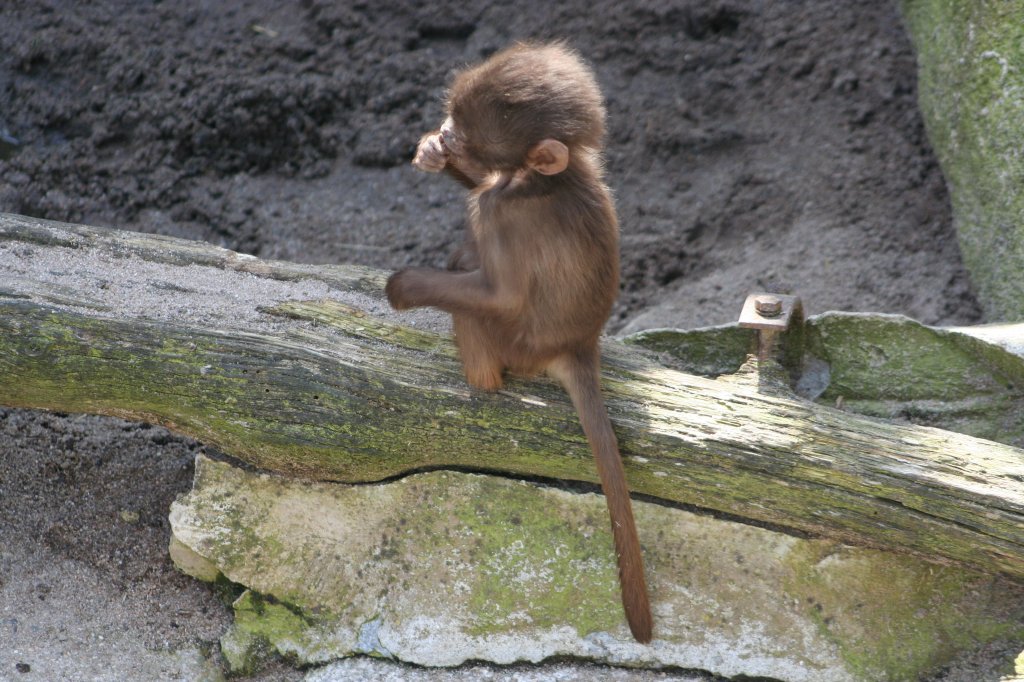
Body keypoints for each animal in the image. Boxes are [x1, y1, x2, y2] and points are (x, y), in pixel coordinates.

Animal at [387, 43, 651, 643]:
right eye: (452, 124)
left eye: (468, 131)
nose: (445, 132)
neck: (542, 182)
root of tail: (577, 344)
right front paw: (431, 152)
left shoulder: (501, 212)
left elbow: (501, 294)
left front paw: (403, 287)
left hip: (514, 346)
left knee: (476, 301)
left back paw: (478, 386)